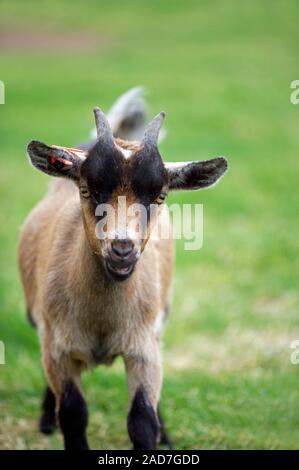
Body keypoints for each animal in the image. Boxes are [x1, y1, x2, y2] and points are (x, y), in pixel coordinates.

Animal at [18, 88, 229, 452]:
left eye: (160, 196)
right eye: (87, 189)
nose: (121, 248)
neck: (103, 324)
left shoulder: (143, 348)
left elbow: (142, 419)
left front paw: (157, 435)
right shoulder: (57, 347)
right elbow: (73, 415)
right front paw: (56, 421)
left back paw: (167, 436)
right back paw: (46, 421)